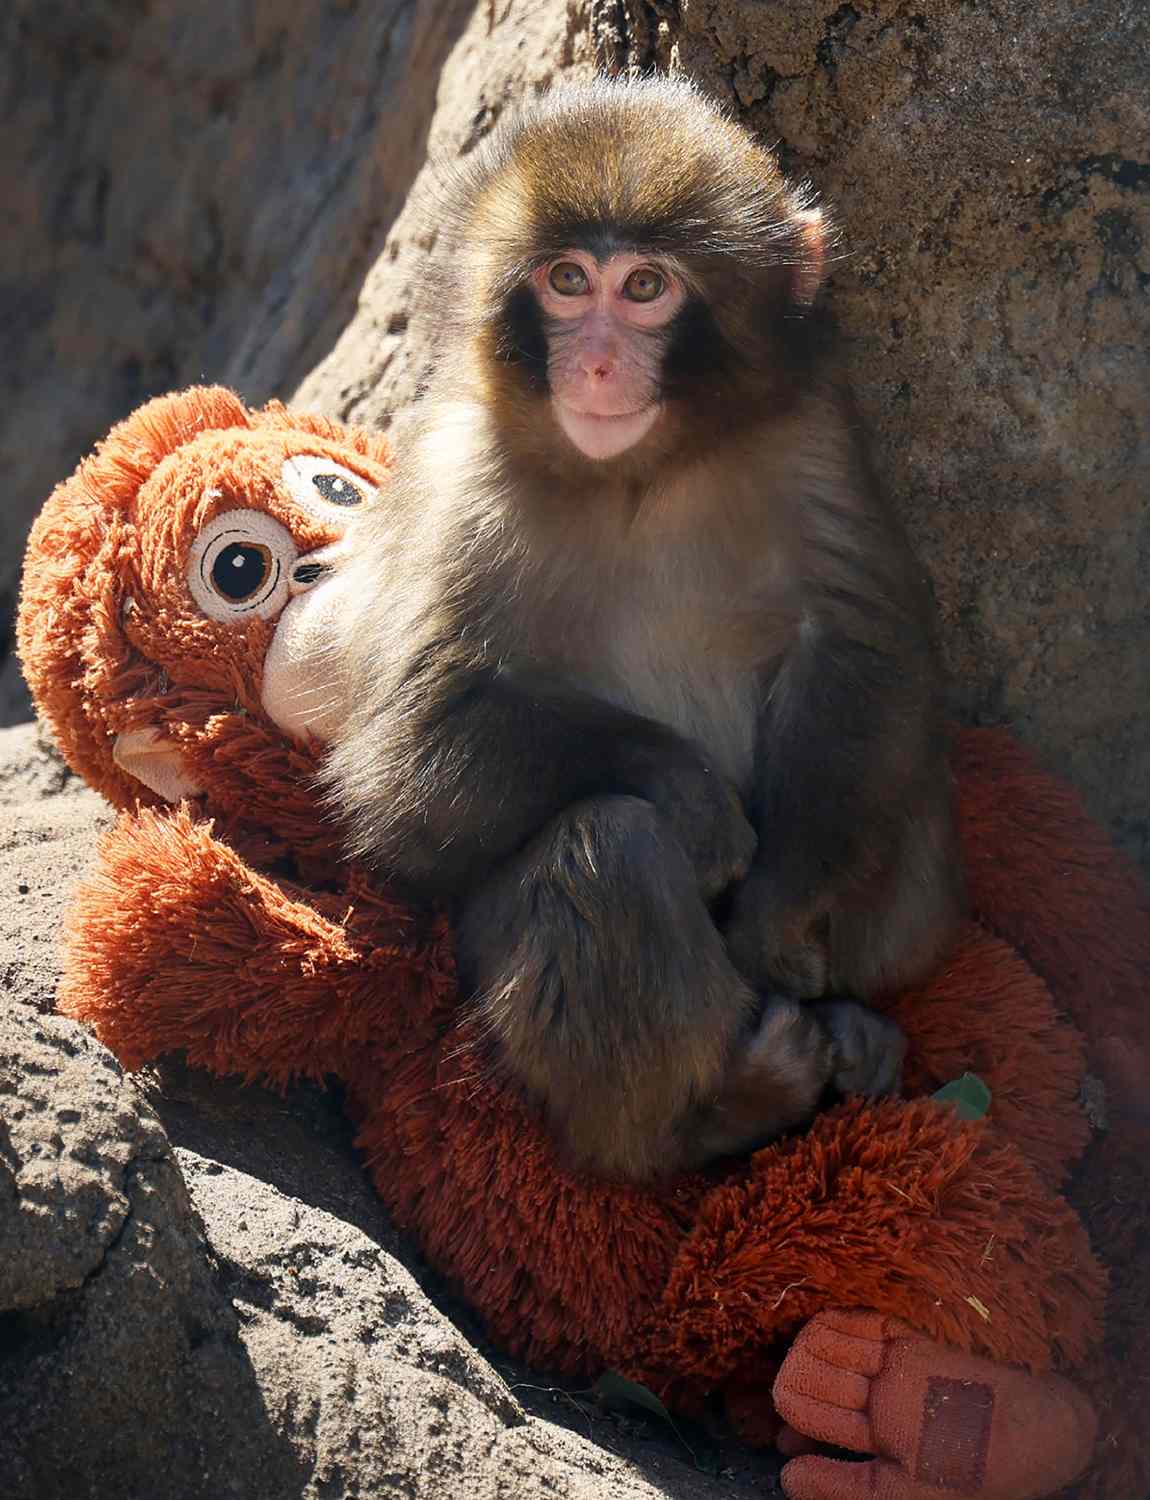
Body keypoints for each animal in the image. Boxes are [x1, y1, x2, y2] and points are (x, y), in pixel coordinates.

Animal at [322, 76, 964, 1181]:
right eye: (568, 280)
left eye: (645, 288)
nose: (594, 364)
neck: (641, 472)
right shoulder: (460, 477)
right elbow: (411, 753)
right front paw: (692, 795)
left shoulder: (813, 438)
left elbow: (858, 652)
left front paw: (776, 913)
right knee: (608, 847)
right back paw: (718, 1110)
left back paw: (855, 1024)